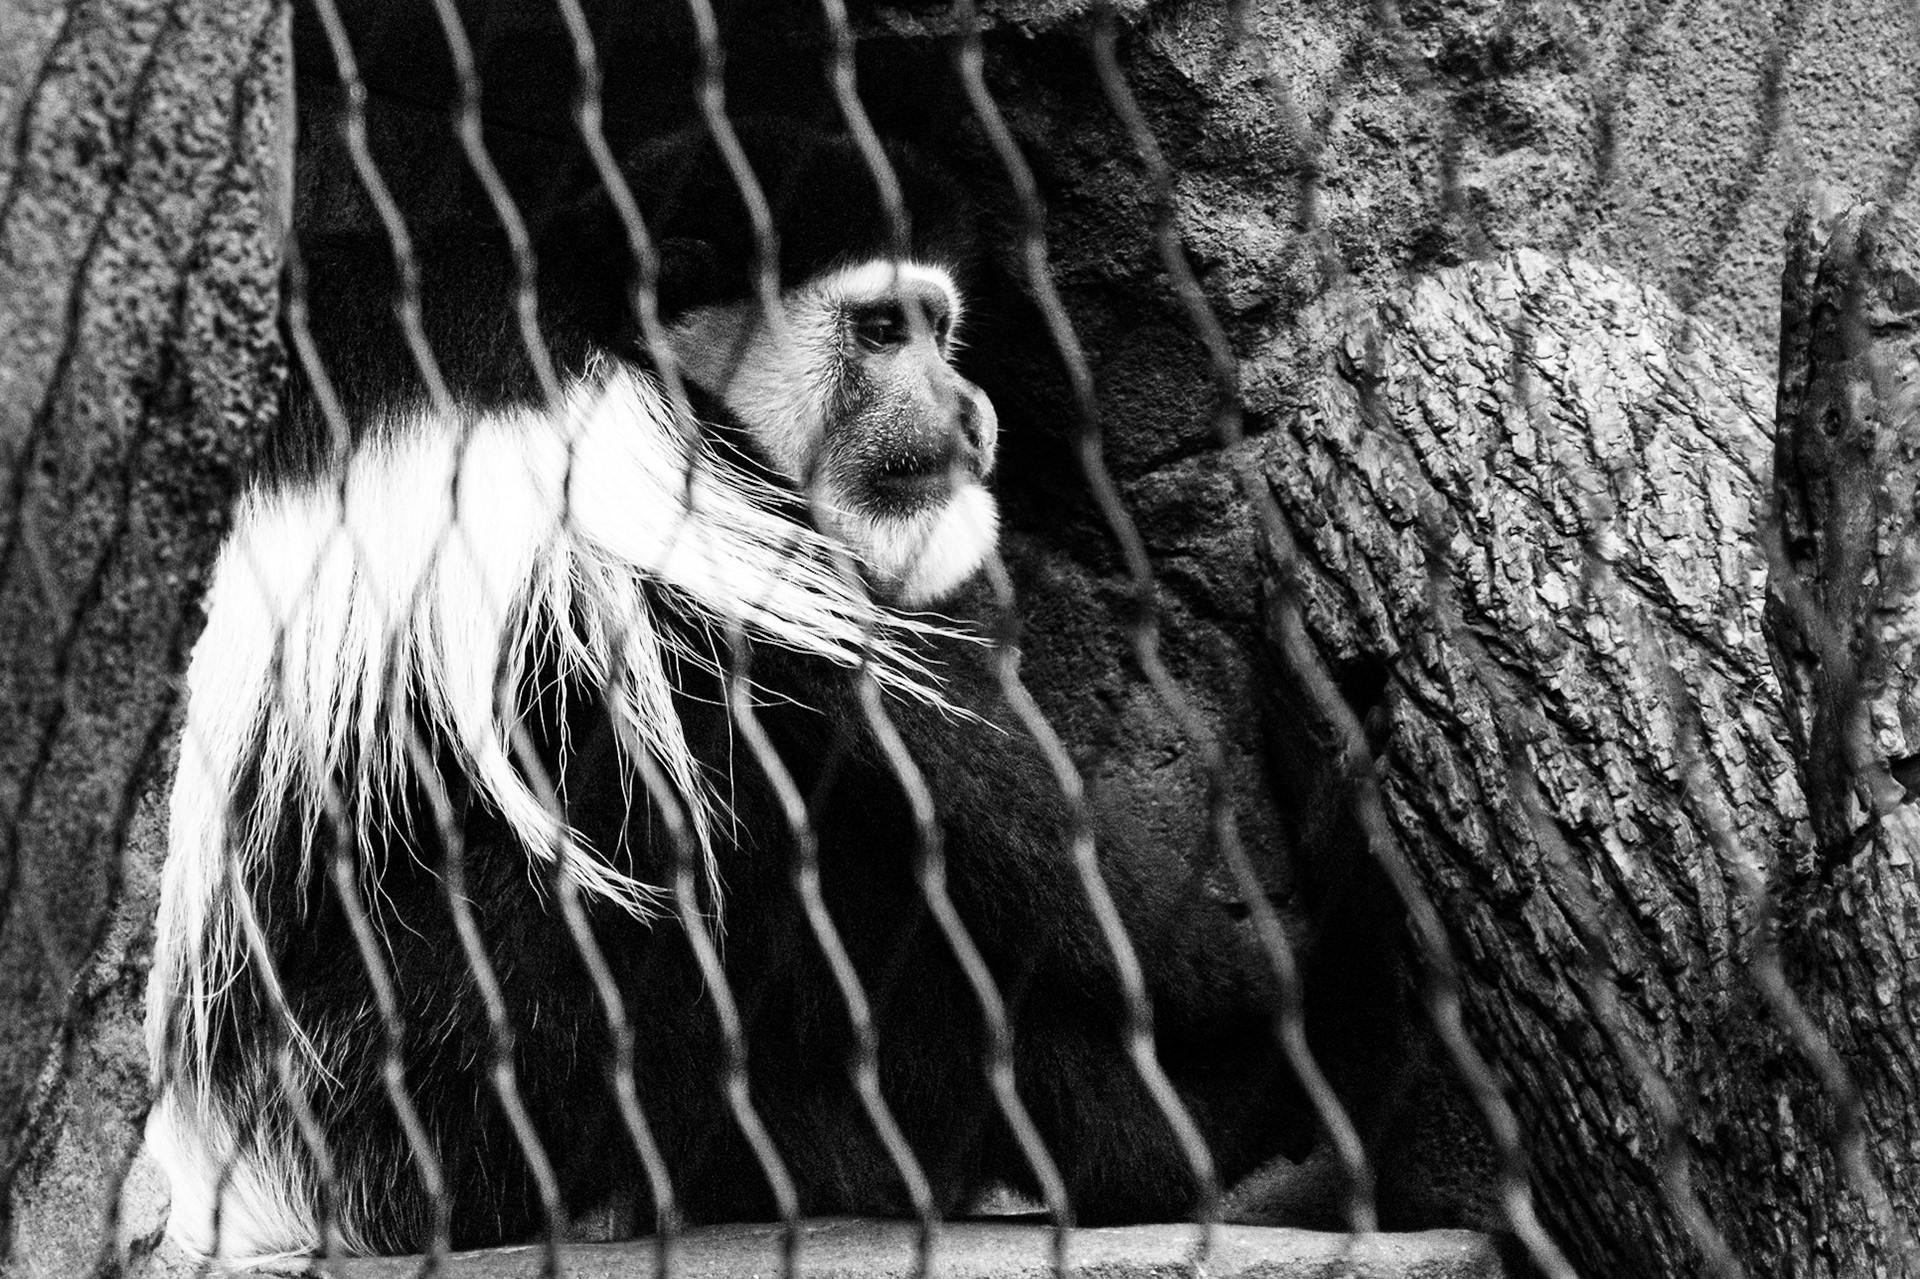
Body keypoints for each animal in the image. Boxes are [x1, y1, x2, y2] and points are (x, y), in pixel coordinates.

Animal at [143, 120, 1312, 1260]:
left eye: (936, 328)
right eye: (880, 331)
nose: (970, 412)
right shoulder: (660, 457)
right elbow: (908, 744)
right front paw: (1263, 981)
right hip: (410, 1073)